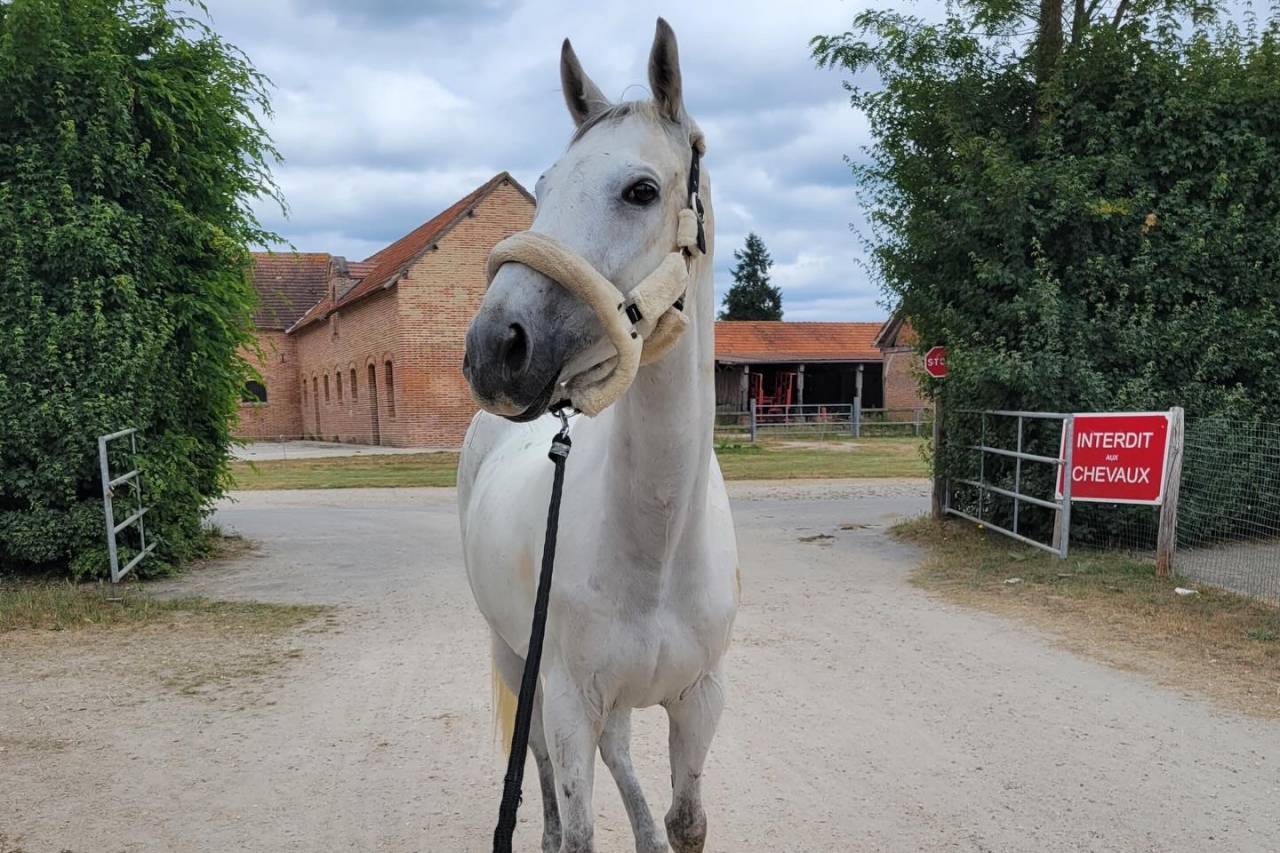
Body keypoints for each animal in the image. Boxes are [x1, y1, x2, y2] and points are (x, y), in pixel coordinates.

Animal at [458, 19, 738, 853]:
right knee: (542, 758)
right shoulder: (567, 695)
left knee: (619, 750)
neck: (658, 548)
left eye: (641, 190)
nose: (495, 348)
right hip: (513, 651)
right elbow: (577, 814)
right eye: (545, 186)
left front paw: (661, 831)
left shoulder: (699, 701)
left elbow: (687, 820)